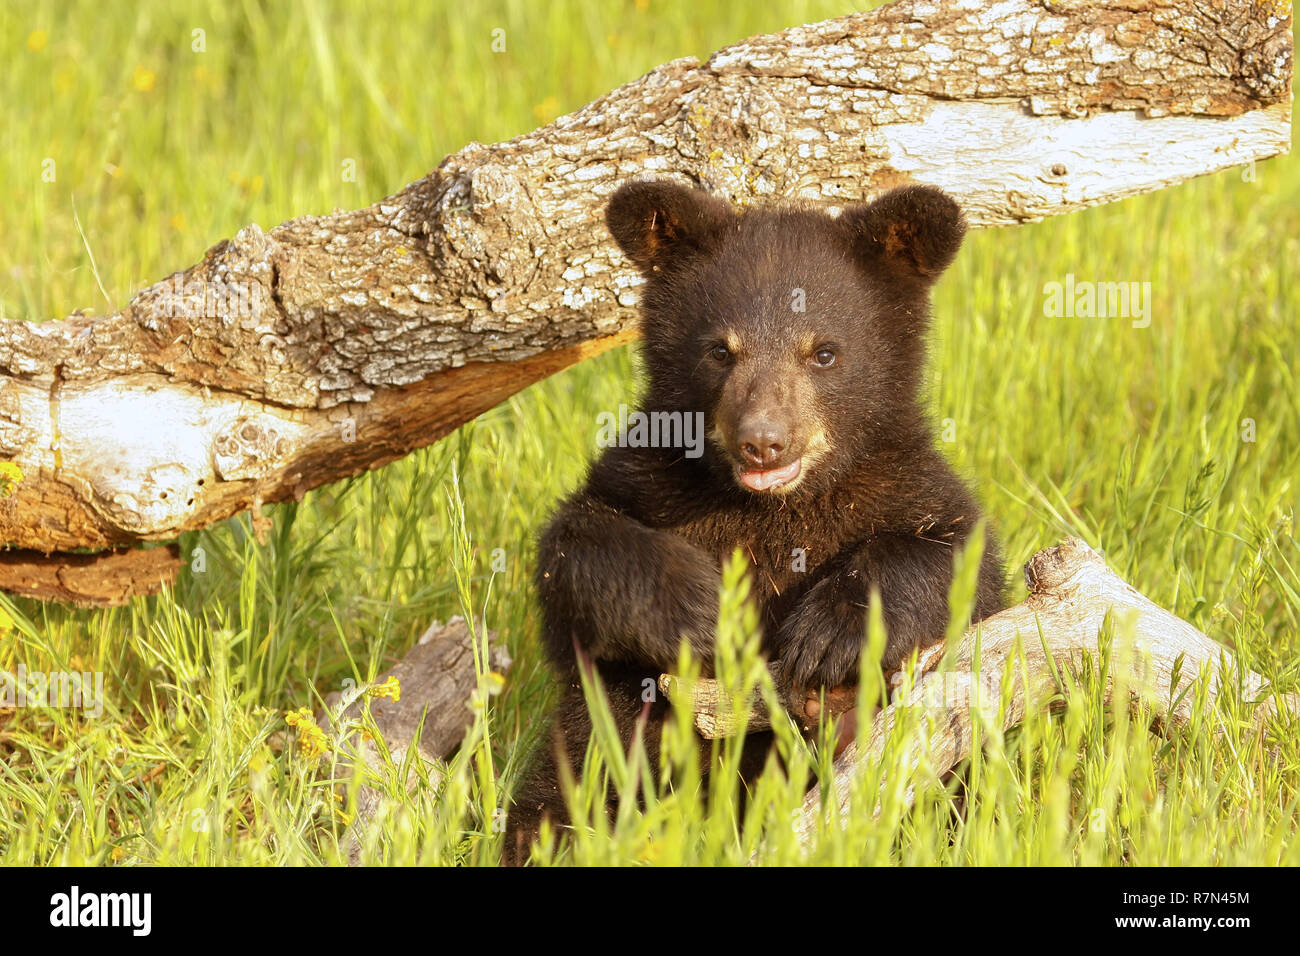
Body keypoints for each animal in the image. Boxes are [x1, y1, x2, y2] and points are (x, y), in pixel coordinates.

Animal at [505, 179, 1005, 864]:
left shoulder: (901, 485)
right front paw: (696, 610)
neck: (773, 509)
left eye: (824, 352)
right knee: (563, 792)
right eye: (720, 349)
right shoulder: (647, 482)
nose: (763, 442)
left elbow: (960, 564)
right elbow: (574, 551)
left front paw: (828, 634)